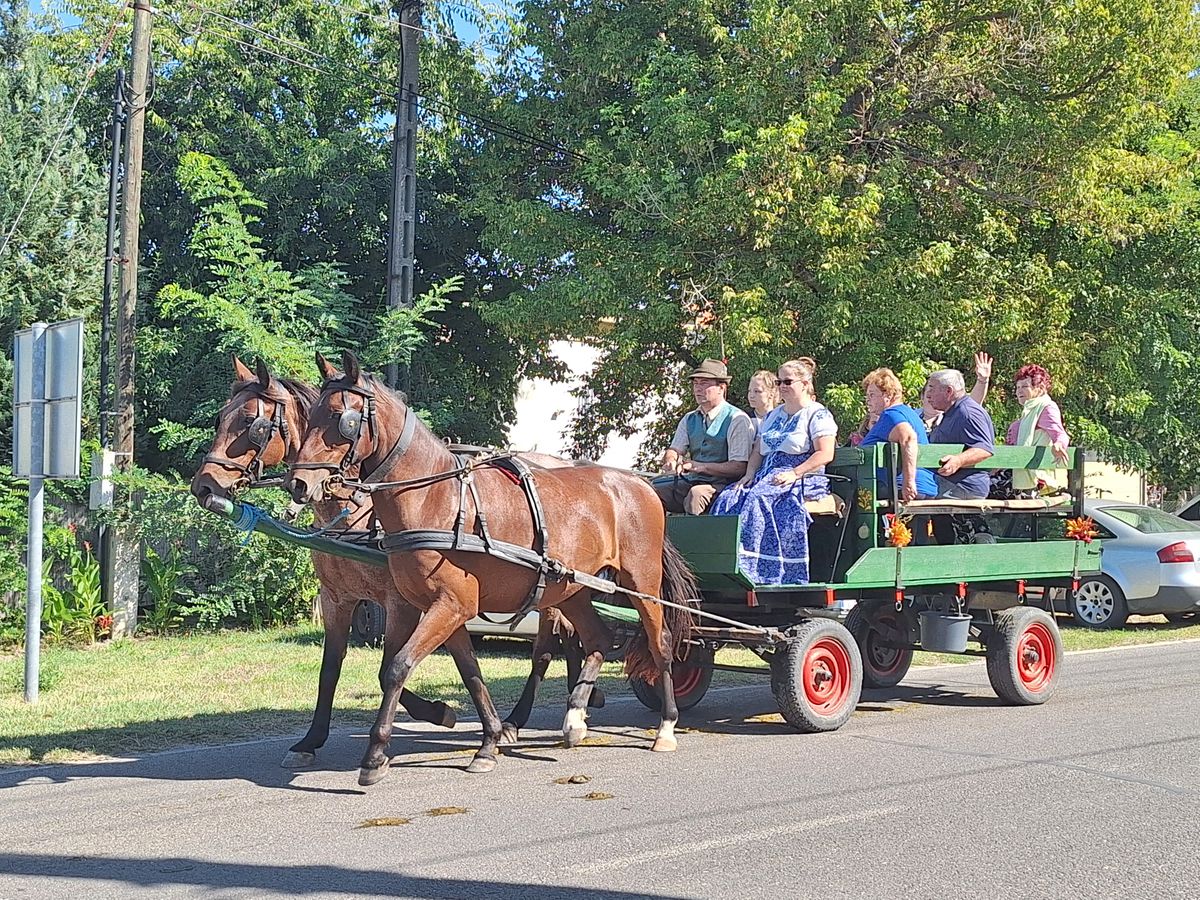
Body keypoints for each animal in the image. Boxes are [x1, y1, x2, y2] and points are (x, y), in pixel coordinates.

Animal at [193, 355, 604, 763]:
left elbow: (387, 668)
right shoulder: (337, 599)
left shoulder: (399, 602)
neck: (359, 512)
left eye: (253, 423)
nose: (204, 485)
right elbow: (330, 669)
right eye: (221, 417)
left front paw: (440, 712)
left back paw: (536, 715)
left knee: (546, 649)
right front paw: (310, 740)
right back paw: (579, 700)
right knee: (571, 640)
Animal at [284, 355, 696, 787]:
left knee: (661, 642)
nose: (298, 482)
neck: (435, 500)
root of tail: (639, 484)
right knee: (598, 637)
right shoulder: (438, 608)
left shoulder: (446, 606)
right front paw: (489, 741)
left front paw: (376, 755)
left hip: (641, 583)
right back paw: (574, 719)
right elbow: (469, 673)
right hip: (571, 590)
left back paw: (666, 726)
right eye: (311, 414)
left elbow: (397, 669)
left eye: (341, 418)